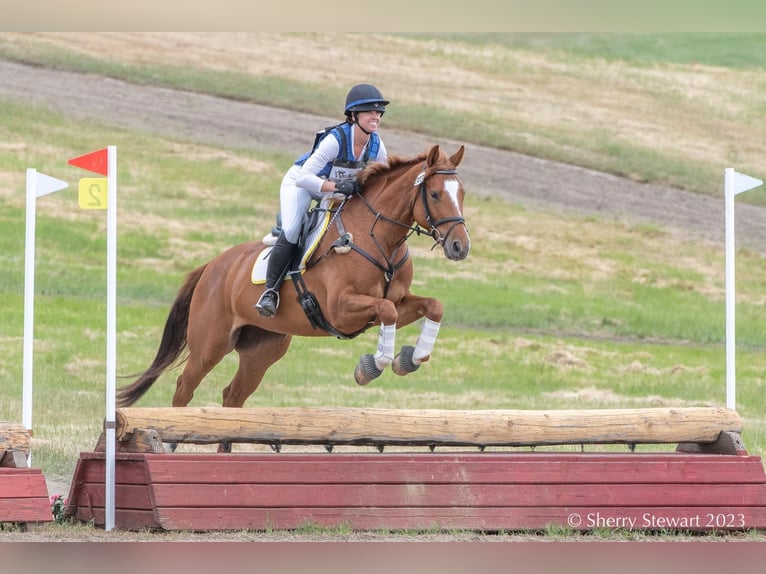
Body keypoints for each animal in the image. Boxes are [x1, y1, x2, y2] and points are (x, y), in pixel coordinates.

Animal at [116, 144, 471, 434]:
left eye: (463, 193)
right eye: (435, 195)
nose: (460, 247)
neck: (377, 239)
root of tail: (211, 266)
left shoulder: (397, 302)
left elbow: (431, 305)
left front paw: (411, 358)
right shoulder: (341, 310)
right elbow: (386, 312)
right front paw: (371, 367)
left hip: (262, 350)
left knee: (233, 396)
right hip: (210, 345)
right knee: (184, 387)